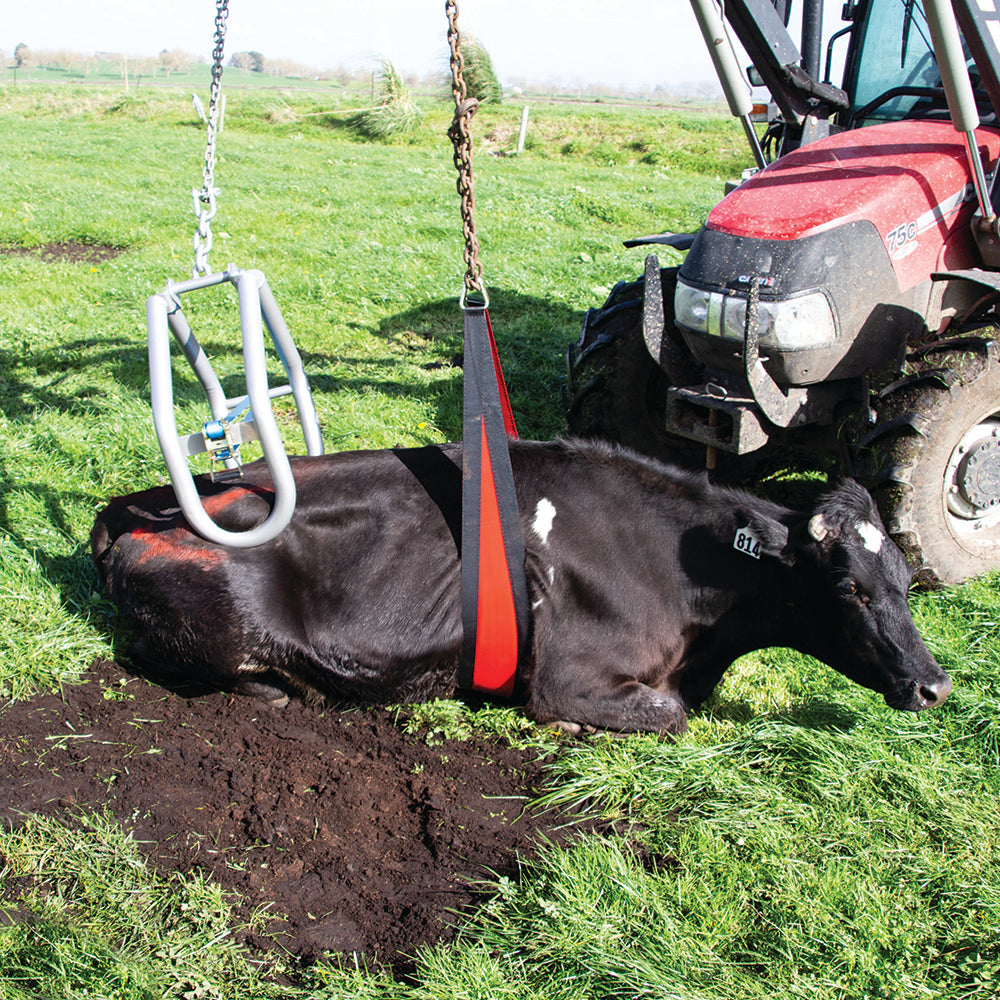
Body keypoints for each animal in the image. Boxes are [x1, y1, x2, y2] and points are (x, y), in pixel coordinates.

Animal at [90, 438, 951, 734]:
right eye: (850, 589)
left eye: (906, 582)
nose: (935, 685)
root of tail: (134, 509)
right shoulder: (569, 677)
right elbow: (668, 716)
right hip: (222, 634)